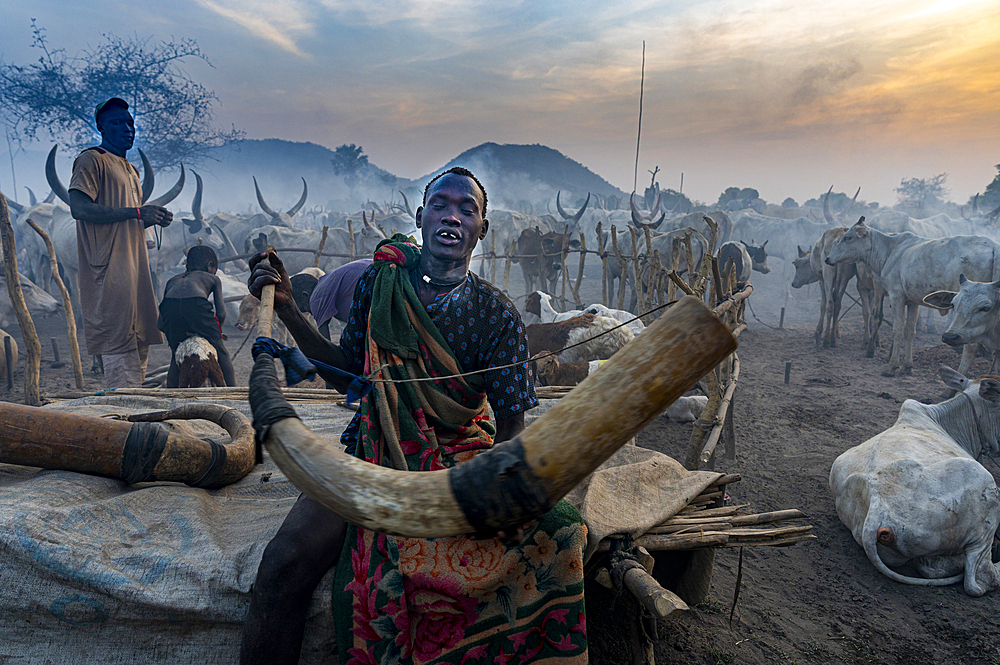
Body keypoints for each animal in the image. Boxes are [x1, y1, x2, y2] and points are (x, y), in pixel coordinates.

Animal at [824, 218, 1000, 374]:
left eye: (848, 237)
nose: (827, 258)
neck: (890, 250)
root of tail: (994, 248)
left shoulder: (896, 296)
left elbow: (897, 329)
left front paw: (892, 365)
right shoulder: (913, 301)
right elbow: (909, 331)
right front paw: (907, 366)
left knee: (971, 346)